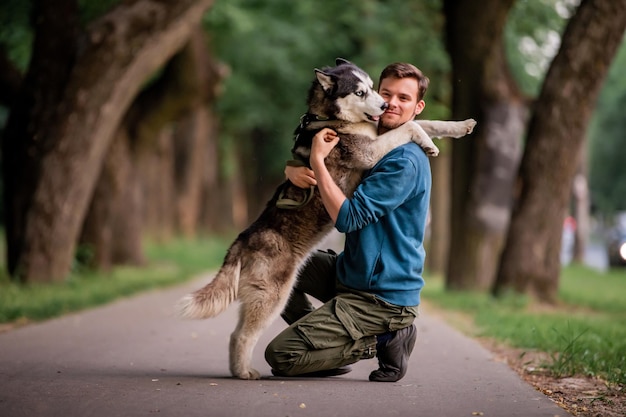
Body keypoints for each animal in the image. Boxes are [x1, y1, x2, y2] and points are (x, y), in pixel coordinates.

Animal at [176, 59, 472, 380]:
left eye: (374, 87)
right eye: (360, 92)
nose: (384, 105)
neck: (331, 120)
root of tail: (242, 240)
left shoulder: (380, 133)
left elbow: (425, 121)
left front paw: (459, 127)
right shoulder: (370, 152)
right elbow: (411, 124)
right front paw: (428, 142)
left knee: (235, 334)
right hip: (272, 294)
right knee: (242, 335)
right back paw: (245, 372)